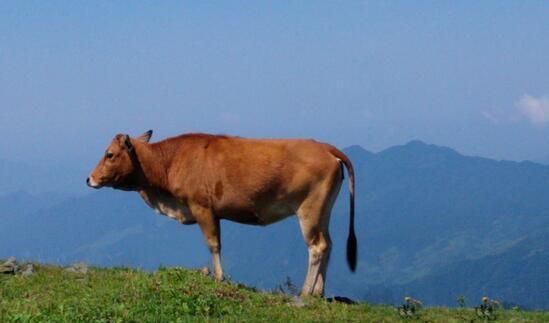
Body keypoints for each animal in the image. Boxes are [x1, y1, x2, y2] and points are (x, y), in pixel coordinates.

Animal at [86, 130, 356, 298]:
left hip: (310, 209)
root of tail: (323, 146)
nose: (89, 178)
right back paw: (319, 291)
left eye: (109, 154)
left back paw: (305, 291)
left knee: (316, 247)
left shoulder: (201, 207)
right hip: (324, 210)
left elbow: (213, 243)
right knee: (328, 244)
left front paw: (218, 277)